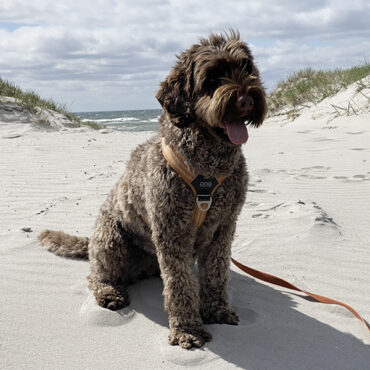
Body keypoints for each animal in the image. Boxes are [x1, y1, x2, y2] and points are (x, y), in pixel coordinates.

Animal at [39, 30, 266, 348]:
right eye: (211, 78)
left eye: (247, 68)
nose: (246, 99)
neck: (208, 168)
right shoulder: (173, 230)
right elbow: (180, 285)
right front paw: (188, 330)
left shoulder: (223, 227)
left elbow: (217, 273)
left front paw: (217, 310)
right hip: (110, 239)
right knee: (97, 275)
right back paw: (109, 292)